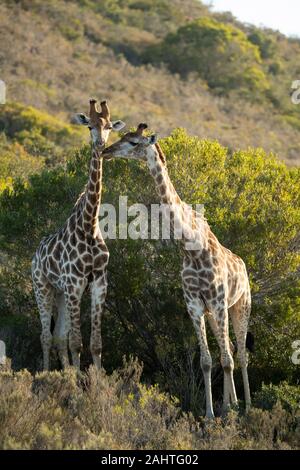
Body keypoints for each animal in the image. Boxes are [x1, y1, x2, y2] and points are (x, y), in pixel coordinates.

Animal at [32, 100, 126, 370]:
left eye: (109, 127)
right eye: (89, 126)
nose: (101, 144)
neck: (90, 226)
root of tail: (35, 255)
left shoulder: (98, 282)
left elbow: (95, 344)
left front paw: (95, 377)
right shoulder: (75, 282)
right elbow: (77, 342)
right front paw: (77, 378)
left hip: (61, 294)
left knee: (58, 336)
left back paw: (65, 373)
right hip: (42, 287)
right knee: (45, 336)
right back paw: (47, 373)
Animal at [102, 124, 252, 418]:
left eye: (133, 142)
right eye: (122, 137)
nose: (106, 151)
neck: (191, 246)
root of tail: (243, 264)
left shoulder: (217, 302)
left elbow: (227, 360)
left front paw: (225, 413)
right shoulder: (194, 304)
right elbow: (206, 360)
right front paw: (211, 413)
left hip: (240, 305)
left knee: (239, 353)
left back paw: (247, 405)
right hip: (216, 312)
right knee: (227, 348)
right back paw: (232, 403)